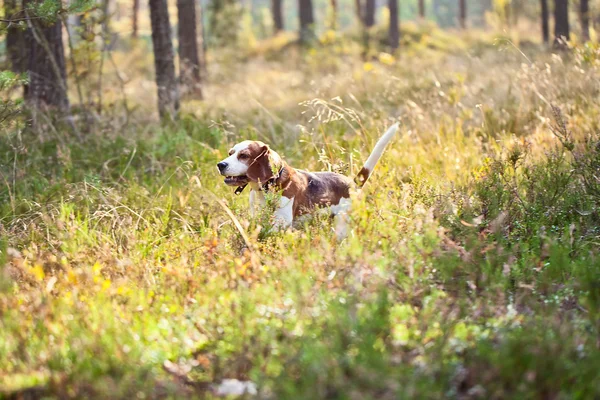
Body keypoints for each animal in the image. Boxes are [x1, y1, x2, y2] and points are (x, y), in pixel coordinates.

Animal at [216, 122, 398, 238]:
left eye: (244, 156)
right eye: (230, 153)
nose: (220, 164)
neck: (267, 188)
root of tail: (353, 183)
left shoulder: (281, 225)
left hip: (342, 226)